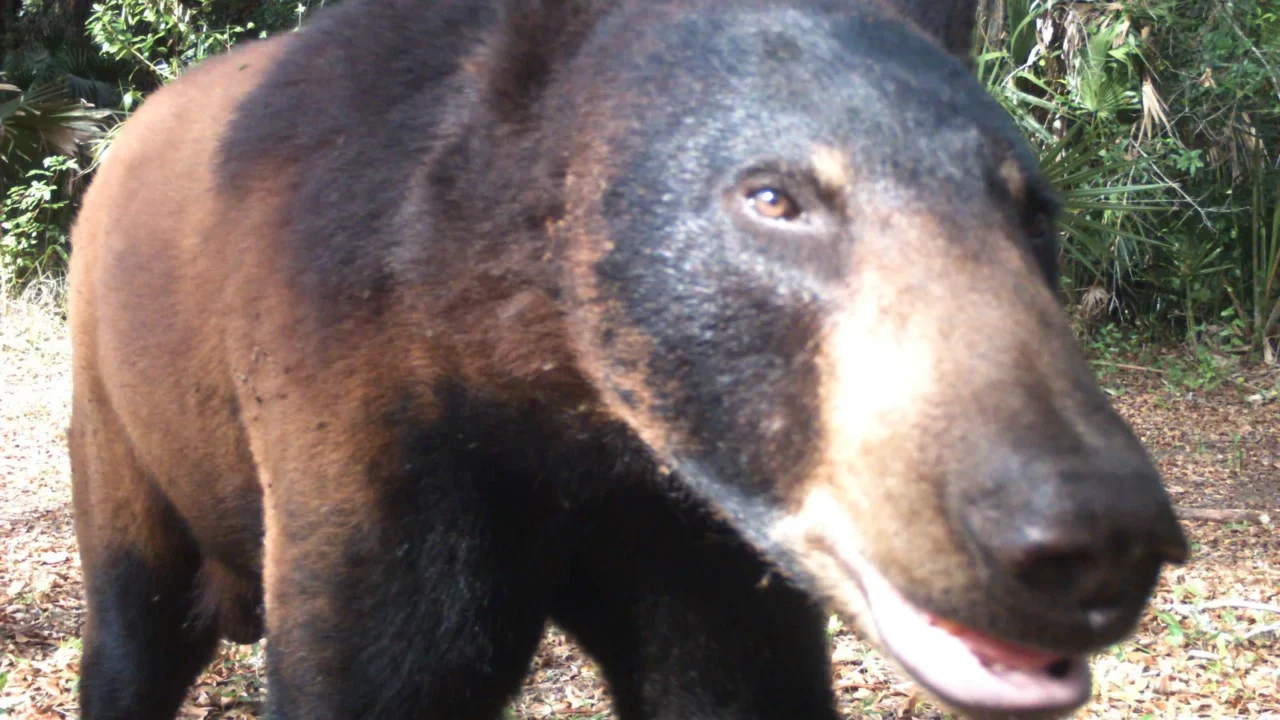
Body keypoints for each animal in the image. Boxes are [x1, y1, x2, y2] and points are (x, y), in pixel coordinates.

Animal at [66, 0, 1188, 718]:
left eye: (1033, 211)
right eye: (774, 197)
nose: (1096, 531)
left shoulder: (690, 535)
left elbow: (734, 682)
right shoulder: (368, 420)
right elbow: (379, 668)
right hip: (125, 426)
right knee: (133, 636)